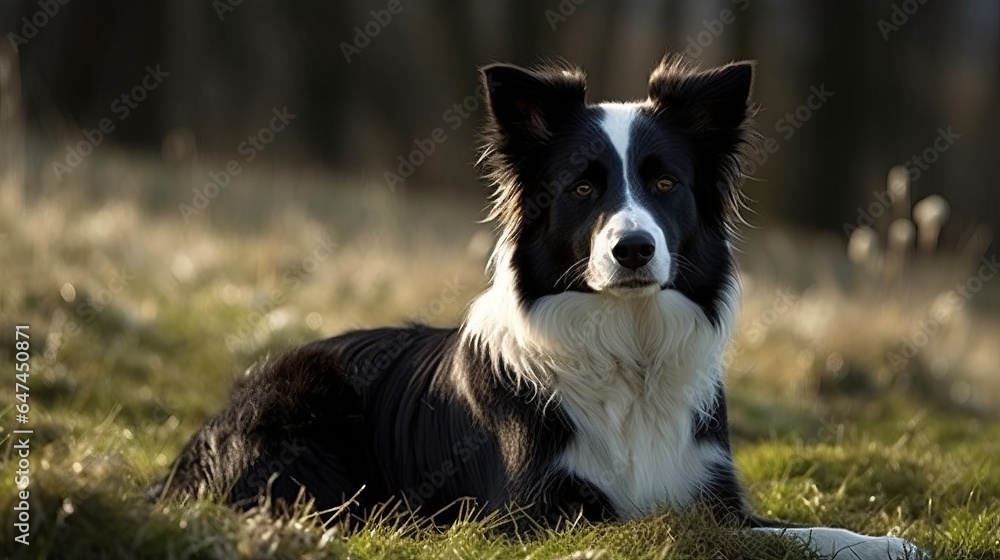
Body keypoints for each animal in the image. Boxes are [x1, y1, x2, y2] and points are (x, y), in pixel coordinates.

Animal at [162, 58, 920, 560]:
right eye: (583, 188)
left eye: (665, 183)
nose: (634, 249)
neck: (629, 352)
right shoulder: (533, 513)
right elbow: (661, 529)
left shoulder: (712, 491)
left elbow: (804, 531)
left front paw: (890, 542)